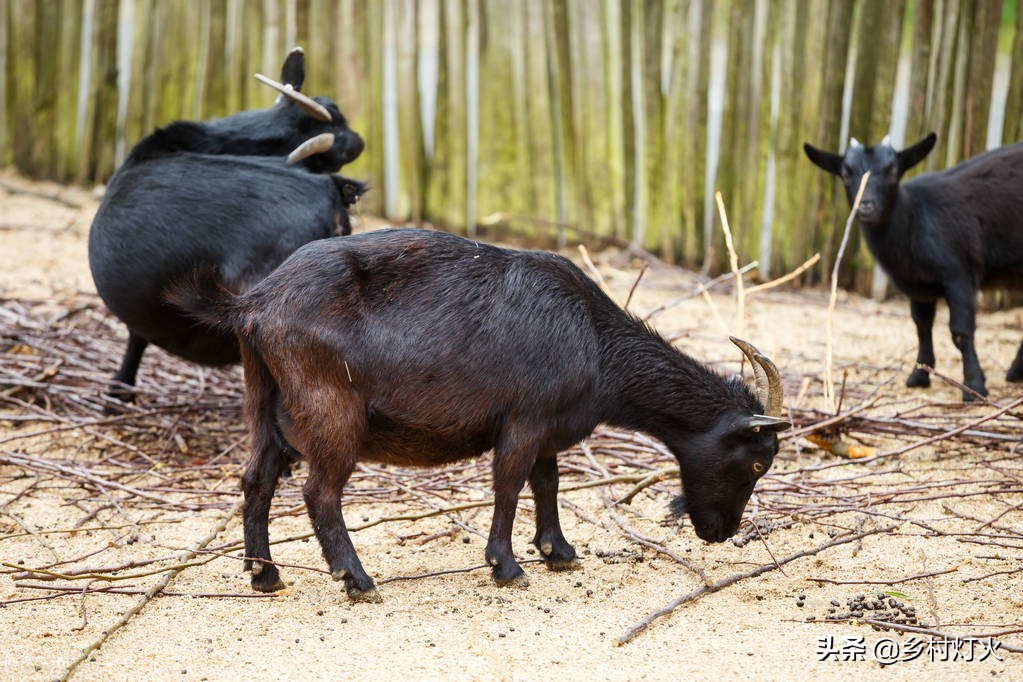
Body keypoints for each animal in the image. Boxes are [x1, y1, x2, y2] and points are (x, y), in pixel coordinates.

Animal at [167, 226, 789, 601]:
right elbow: (510, 484)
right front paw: (507, 566)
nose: (719, 532)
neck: (593, 337)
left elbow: (547, 481)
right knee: (320, 491)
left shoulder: (546, 429)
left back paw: (264, 575)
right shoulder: (524, 420)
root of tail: (253, 304)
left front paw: (559, 552)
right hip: (330, 410)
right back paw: (357, 579)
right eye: (758, 463)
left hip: (267, 404)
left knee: (256, 479)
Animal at [802, 132, 1023, 400]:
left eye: (893, 171)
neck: (915, 220)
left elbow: (961, 332)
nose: (866, 205)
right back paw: (1016, 372)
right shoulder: (917, 285)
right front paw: (919, 376)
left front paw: (974, 386)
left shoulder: (959, 274)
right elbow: (922, 328)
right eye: (845, 173)